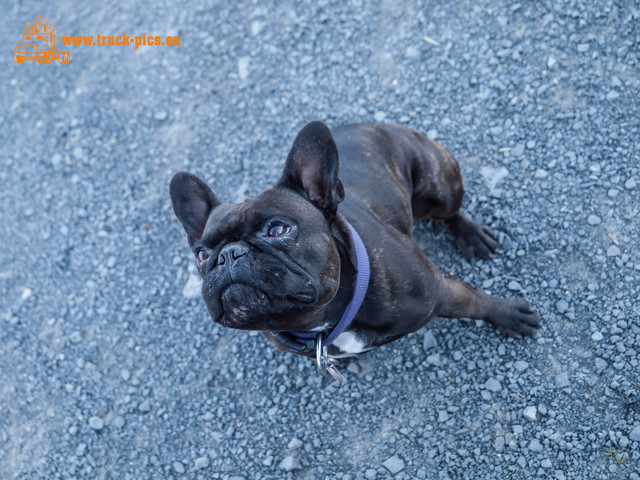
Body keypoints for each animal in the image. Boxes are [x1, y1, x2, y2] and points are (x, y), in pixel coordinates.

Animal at [170, 121, 540, 378]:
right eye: (202, 254)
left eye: (277, 229)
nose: (228, 254)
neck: (325, 320)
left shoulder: (439, 291)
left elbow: (474, 301)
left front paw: (509, 313)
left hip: (441, 183)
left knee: (449, 212)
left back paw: (471, 234)